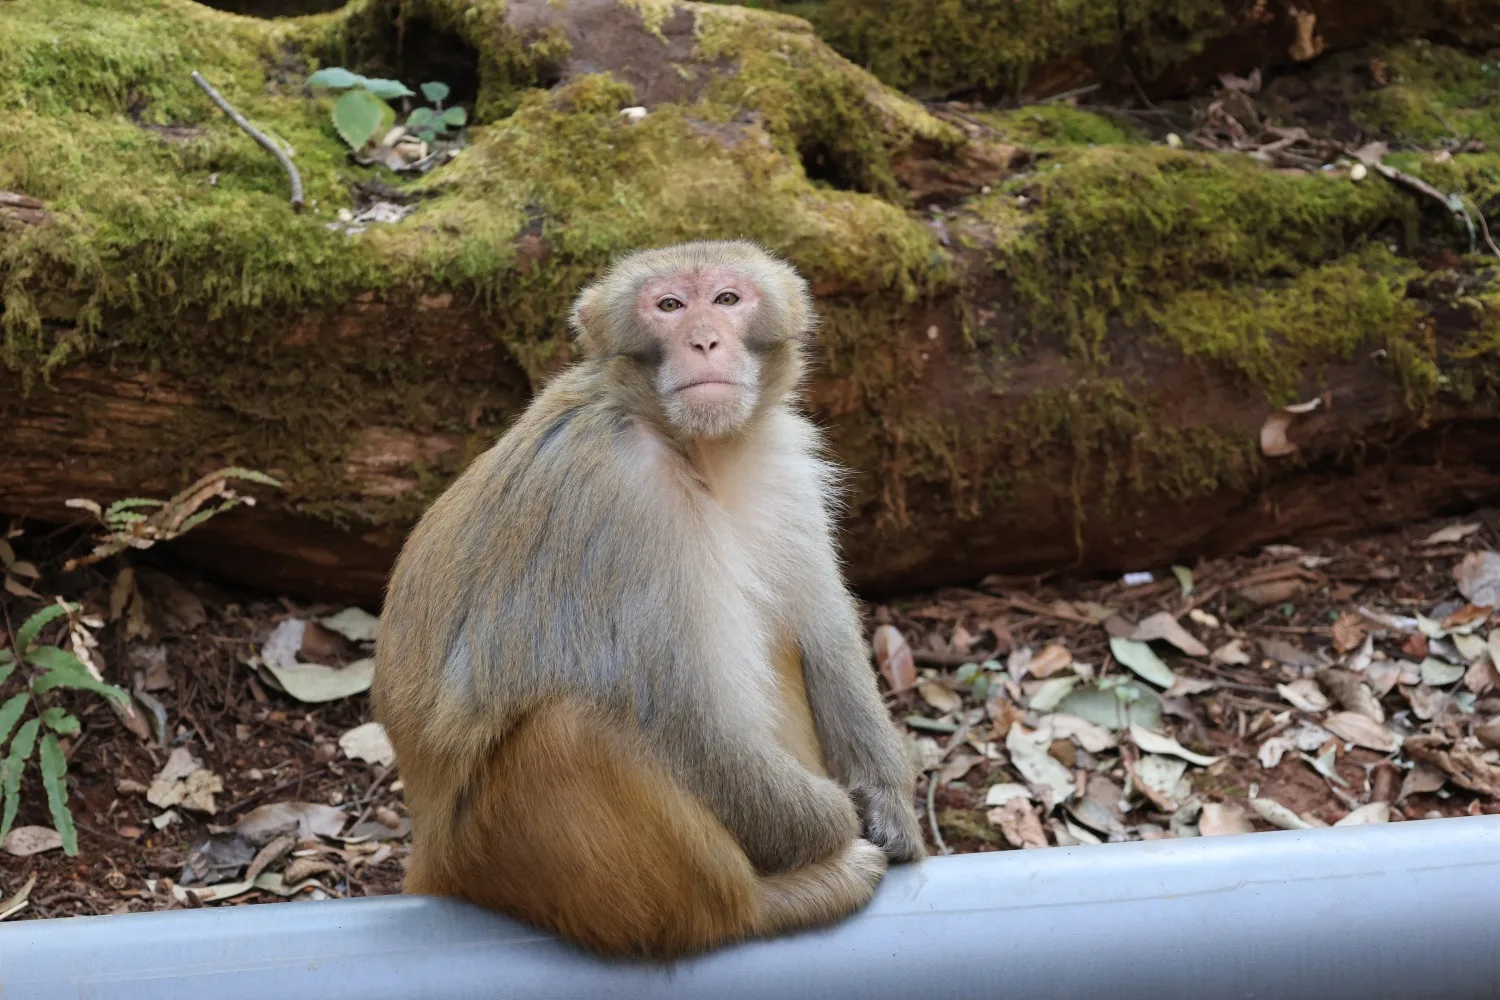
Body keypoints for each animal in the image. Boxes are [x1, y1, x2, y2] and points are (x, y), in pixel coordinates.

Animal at [372, 239, 924, 959]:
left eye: (726, 299)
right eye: (668, 306)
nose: (705, 339)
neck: (700, 450)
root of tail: (430, 857)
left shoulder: (783, 461)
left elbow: (821, 636)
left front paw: (887, 801)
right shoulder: (626, 495)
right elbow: (690, 722)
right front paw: (839, 821)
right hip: (495, 855)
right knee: (570, 731)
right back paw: (762, 907)